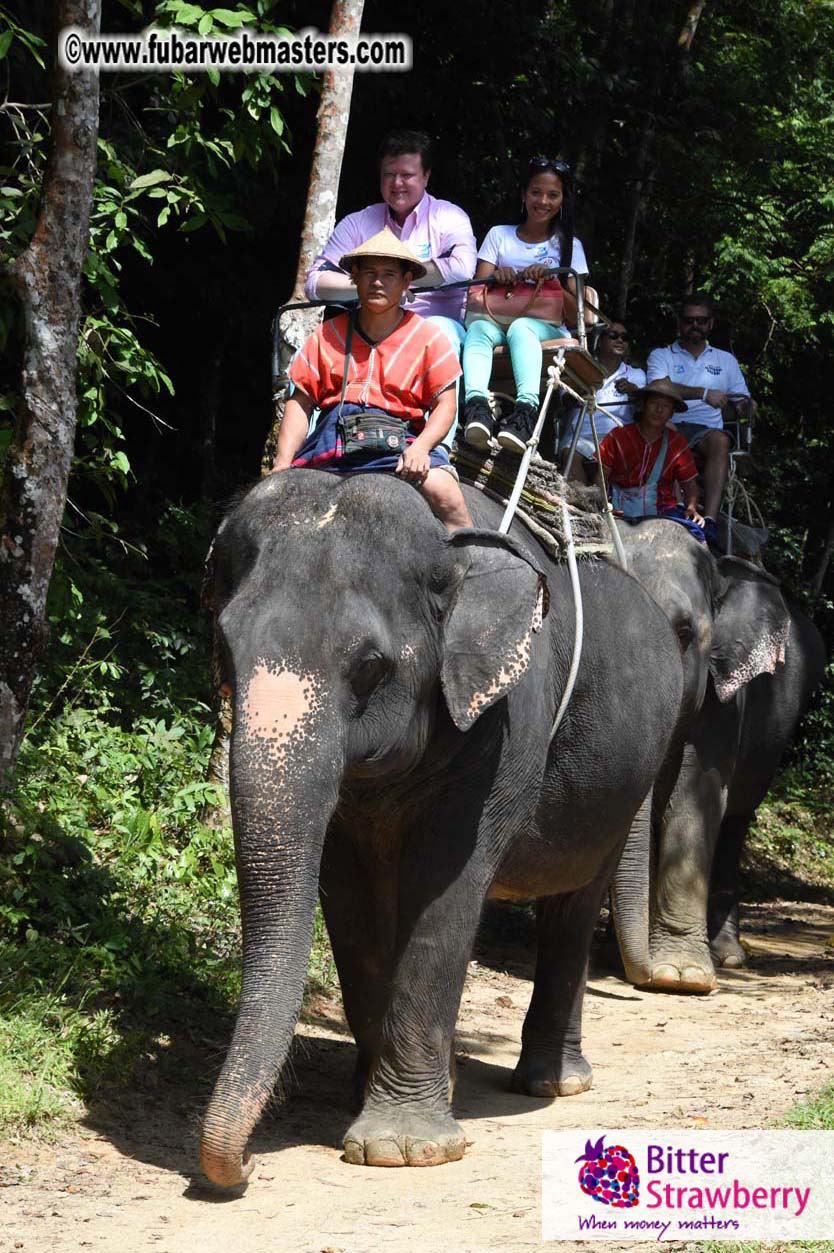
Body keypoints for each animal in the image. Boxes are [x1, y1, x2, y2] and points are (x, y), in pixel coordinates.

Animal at [199, 469, 683, 1188]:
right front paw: (376, 1098)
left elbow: (446, 886)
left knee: (572, 908)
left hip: (626, 783)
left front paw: (401, 1148)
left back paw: (553, 1083)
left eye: (370, 666)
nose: (247, 1168)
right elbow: (350, 899)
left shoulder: (504, 723)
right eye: (227, 650)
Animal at [610, 518, 825, 993]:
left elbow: (697, 799)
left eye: (684, 633)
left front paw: (680, 977)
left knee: (736, 821)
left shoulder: (725, 700)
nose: (642, 975)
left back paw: (727, 956)